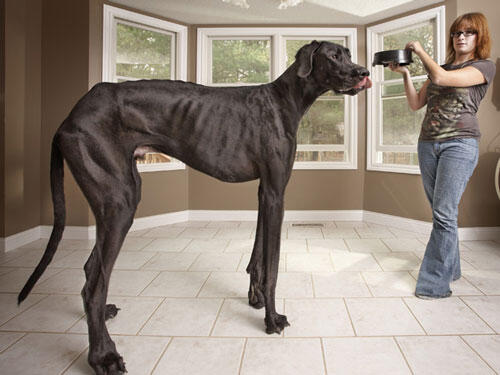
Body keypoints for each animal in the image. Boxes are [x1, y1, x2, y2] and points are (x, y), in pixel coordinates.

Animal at [17, 41, 370, 375]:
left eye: (348, 53)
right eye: (333, 56)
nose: (363, 73)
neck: (286, 98)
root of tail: (69, 118)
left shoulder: (264, 192)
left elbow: (257, 256)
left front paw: (254, 298)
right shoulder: (275, 193)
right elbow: (272, 266)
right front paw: (271, 319)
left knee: (93, 270)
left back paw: (102, 317)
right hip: (120, 200)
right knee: (94, 285)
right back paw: (104, 356)